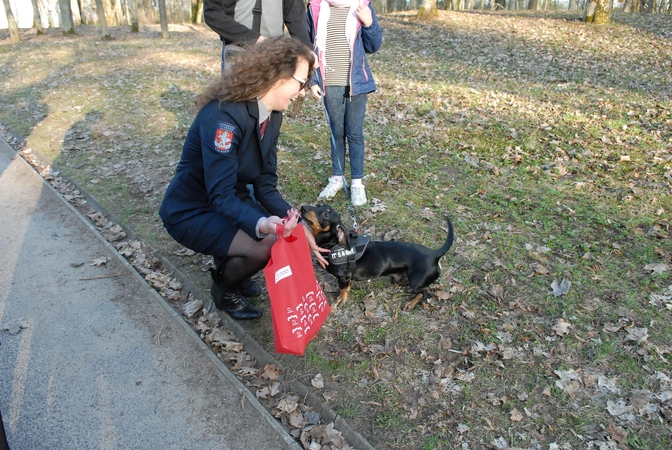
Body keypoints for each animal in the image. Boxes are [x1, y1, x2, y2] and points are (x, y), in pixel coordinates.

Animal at [300, 204, 454, 310]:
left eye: (326, 214)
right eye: (318, 205)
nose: (302, 208)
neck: (334, 244)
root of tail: (434, 254)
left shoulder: (343, 277)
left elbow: (343, 290)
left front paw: (340, 300)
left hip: (416, 283)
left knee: (427, 293)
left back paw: (411, 303)